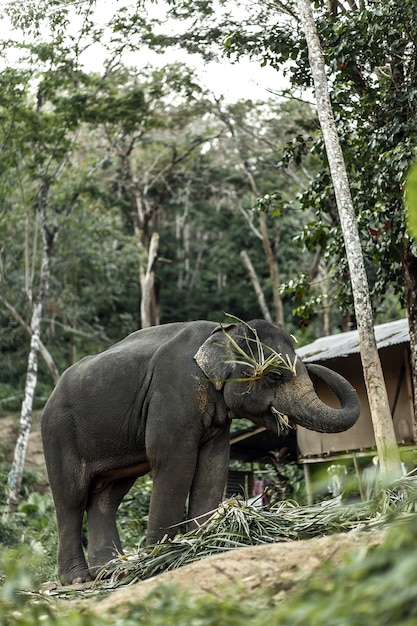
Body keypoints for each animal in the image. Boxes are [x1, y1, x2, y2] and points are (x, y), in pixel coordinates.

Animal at [41, 316, 360, 584]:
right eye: (275, 376)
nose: (316, 364)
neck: (223, 331)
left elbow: (213, 464)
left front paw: (204, 546)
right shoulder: (175, 389)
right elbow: (174, 461)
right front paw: (160, 560)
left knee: (107, 497)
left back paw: (110, 570)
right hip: (58, 432)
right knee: (71, 498)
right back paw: (78, 579)